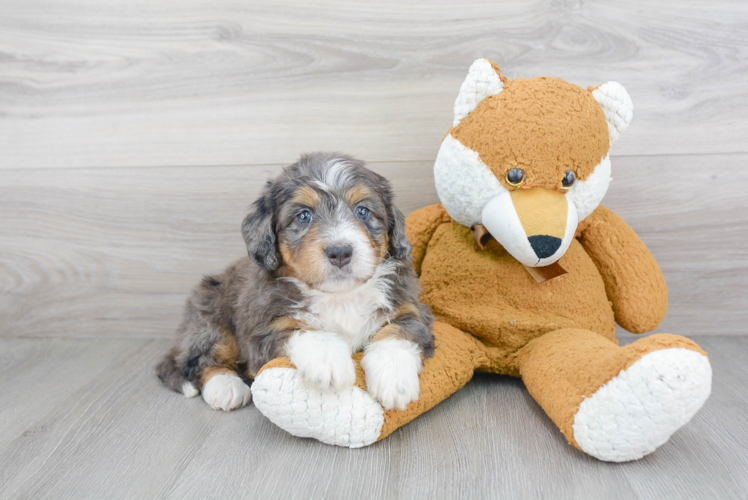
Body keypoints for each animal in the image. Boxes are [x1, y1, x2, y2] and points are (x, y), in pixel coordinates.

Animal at [159, 152, 438, 414]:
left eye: (362, 211)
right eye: (304, 216)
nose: (340, 252)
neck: (339, 297)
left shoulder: (409, 308)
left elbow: (395, 334)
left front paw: (394, 379)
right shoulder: (264, 327)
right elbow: (304, 329)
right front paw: (330, 364)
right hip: (210, 316)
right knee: (201, 360)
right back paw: (226, 386)